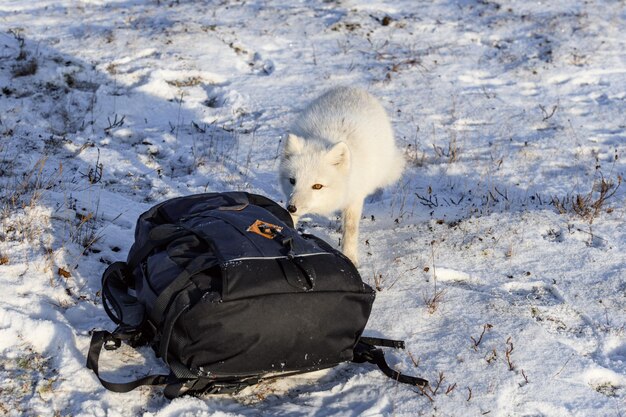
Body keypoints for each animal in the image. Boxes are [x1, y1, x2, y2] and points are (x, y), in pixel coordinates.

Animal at [280, 86, 404, 264]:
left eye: (317, 186)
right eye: (292, 181)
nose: (291, 207)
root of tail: (352, 87)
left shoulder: (355, 197)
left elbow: (351, 229)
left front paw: (351, 258)